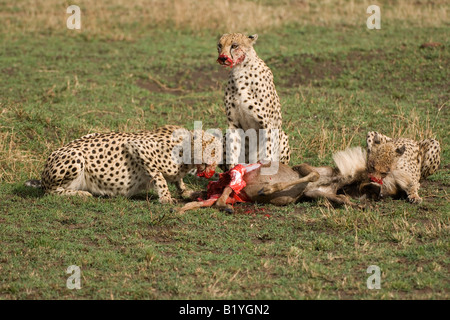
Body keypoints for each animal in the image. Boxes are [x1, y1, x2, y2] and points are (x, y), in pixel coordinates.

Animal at [27, 125, 221, 204]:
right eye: (212, 151)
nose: (214, 167)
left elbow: (177, 180)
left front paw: (187, 192)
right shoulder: (138, 147)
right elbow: (159, 177)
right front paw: (166, 198)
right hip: (76, 157)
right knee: (50, 191)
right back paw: (80, 194)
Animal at [217, 32, 292, 168]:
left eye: (234, 45)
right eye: (220, 45)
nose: (223, 58)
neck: (240, 69)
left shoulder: (266, 124)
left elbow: (267, 150)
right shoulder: (233, 124)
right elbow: (233, 150)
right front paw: (233, 171)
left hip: (282, 135)